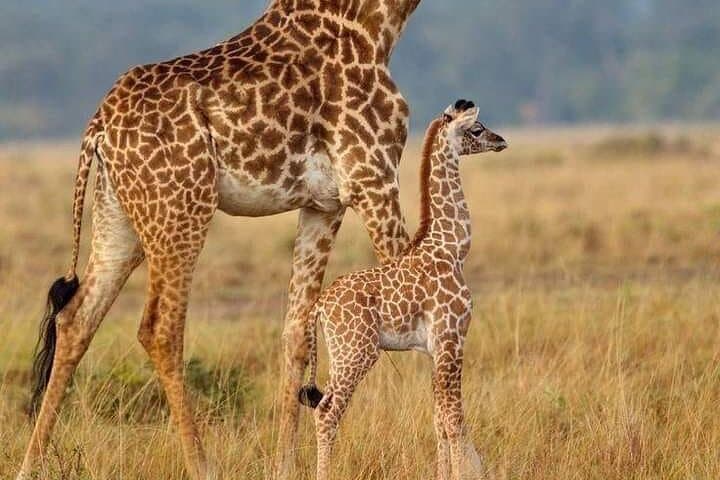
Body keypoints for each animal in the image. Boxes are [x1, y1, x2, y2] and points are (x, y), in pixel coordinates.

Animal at [17, 1, 425, 479]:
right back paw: (202, 465)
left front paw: (284, 466)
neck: (374, 25)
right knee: (159, 329)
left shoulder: (324, 205)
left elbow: (296, 332)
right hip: (182, 210)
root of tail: (98, 128)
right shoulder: (372, 177)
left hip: (117, 218)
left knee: (76, 318)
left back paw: (29, 465)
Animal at [297, 100, 507, 480]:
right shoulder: (453, 338)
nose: (501, 140)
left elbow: (439, 420)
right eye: (478, 128)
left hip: (338, 354)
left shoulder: (433, 349)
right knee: (327, 412)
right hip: (357, 353)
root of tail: (319, 306)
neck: (452, 247)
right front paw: (466, 472)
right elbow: (454, 419)